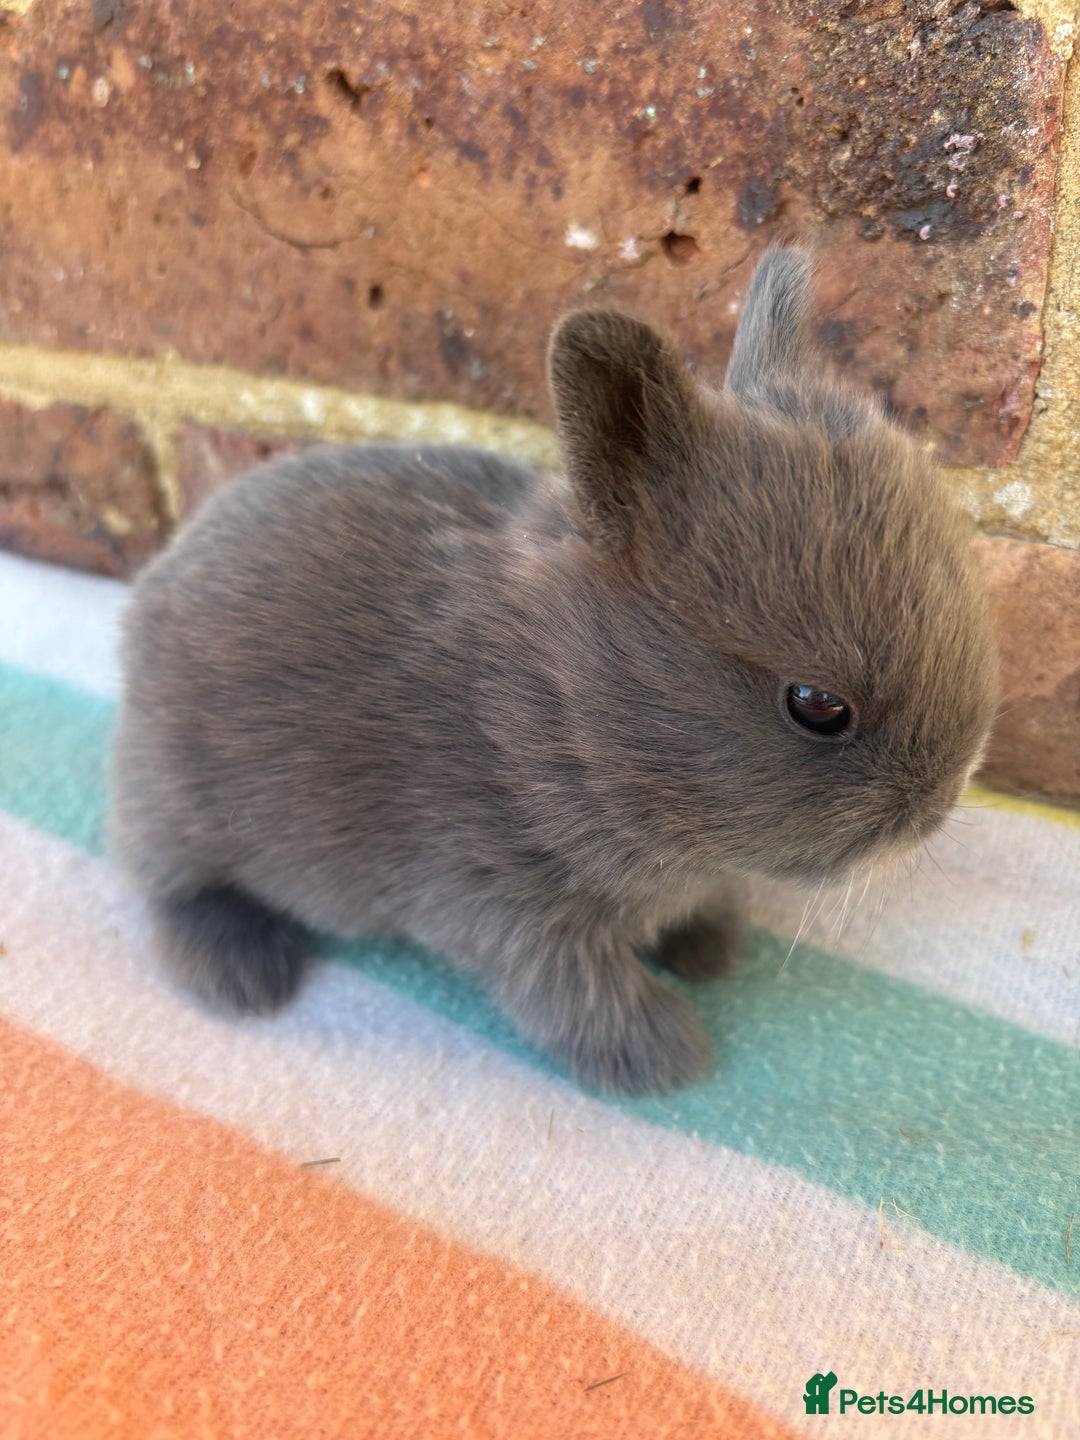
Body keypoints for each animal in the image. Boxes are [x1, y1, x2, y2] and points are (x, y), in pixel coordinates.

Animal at [110, 245, 998, 1096]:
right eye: (815, 705)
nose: (939, 806)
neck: (561, 708)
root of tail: (156, 586)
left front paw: (709, 949)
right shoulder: (503, 901)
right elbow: (580, 993)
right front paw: (667, 1058)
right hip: (178, 807)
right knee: (166, 887)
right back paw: (243, 975)